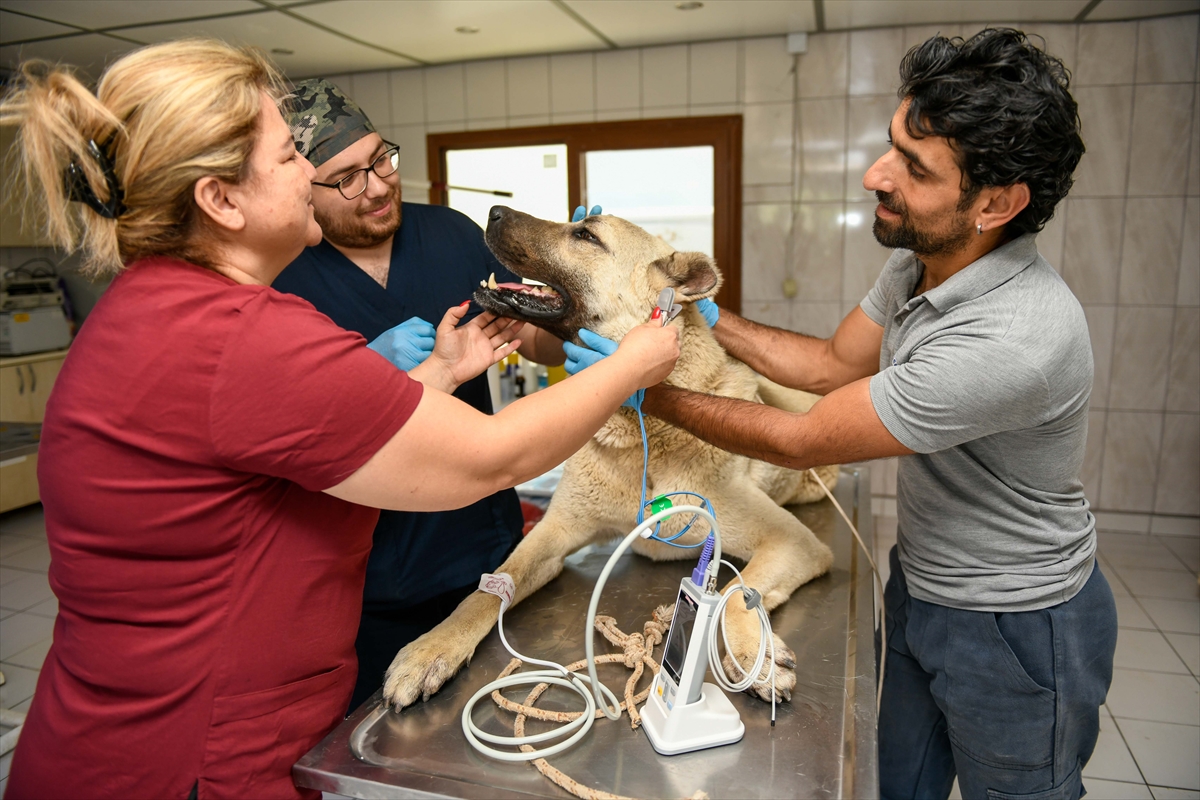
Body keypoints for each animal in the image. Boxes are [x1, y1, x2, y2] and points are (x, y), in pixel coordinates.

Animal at [384, 209, 835, 710]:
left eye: (585, 234)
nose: (494, 213)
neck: (641, 436)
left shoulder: (792, 541)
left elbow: (737, 591)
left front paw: (753, 655)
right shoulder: (553, 533)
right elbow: (488, 589)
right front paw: (433, 647)